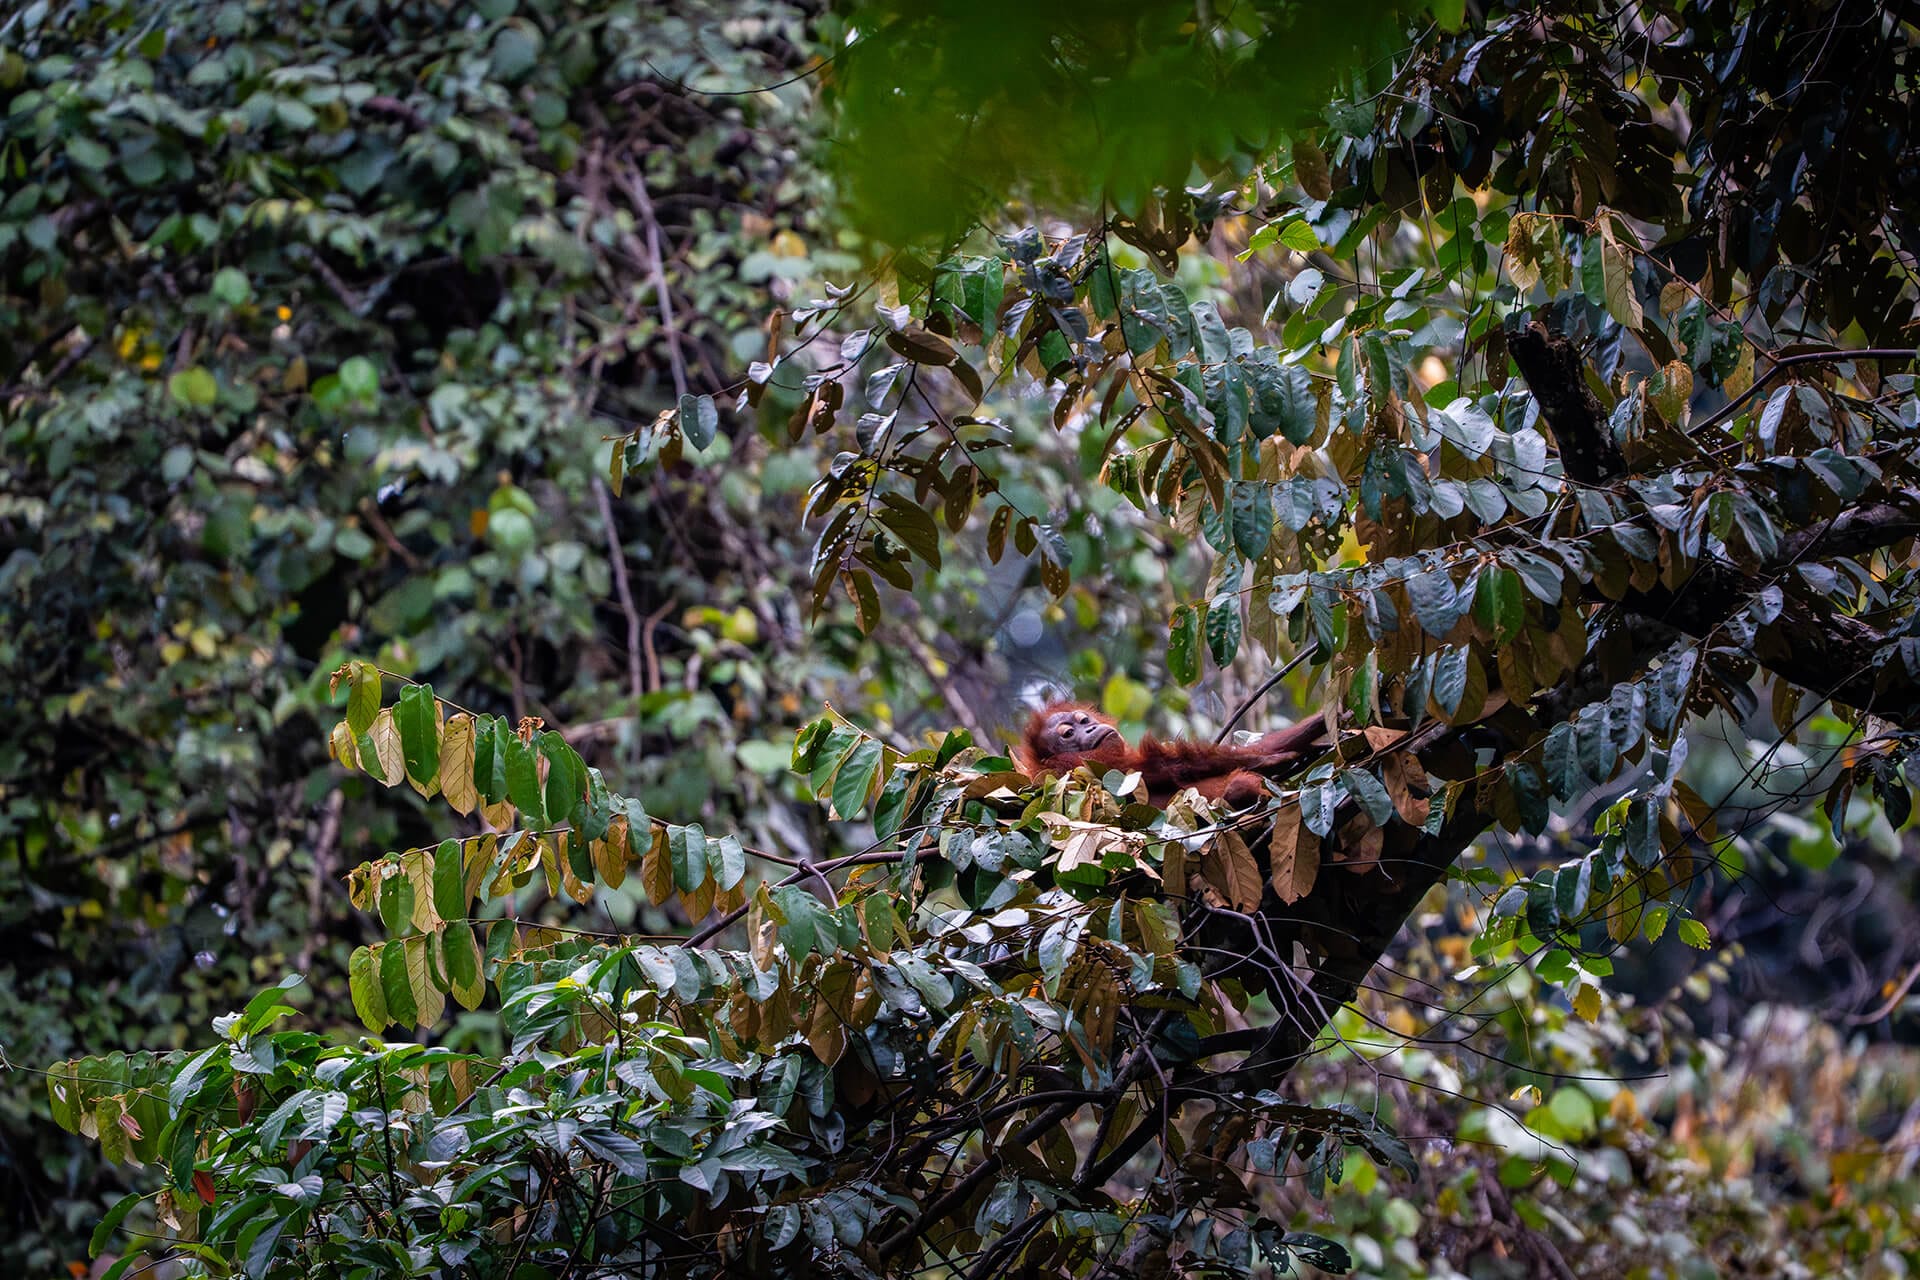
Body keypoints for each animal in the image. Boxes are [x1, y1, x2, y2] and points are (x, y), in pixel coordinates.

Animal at [1014, 702, 1329, 807]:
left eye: (1082, 720)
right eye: (1068, 734)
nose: (1090, 727)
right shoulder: (1074, 763)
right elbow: (1161, 766)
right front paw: (1269, 760)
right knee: (1238, 788)